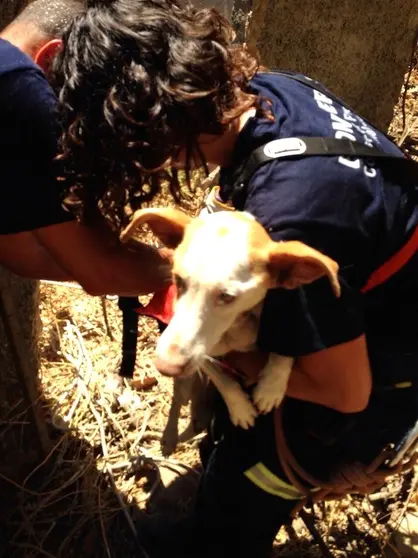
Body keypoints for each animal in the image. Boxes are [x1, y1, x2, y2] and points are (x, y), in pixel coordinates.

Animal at [120, 208, 340, 436]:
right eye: (179, 280)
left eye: (227, 296)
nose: (166, 367)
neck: (235, 328)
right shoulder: (204, 355)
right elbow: (223, 380)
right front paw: (240, 408)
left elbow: (286, 344)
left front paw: (271, 387)